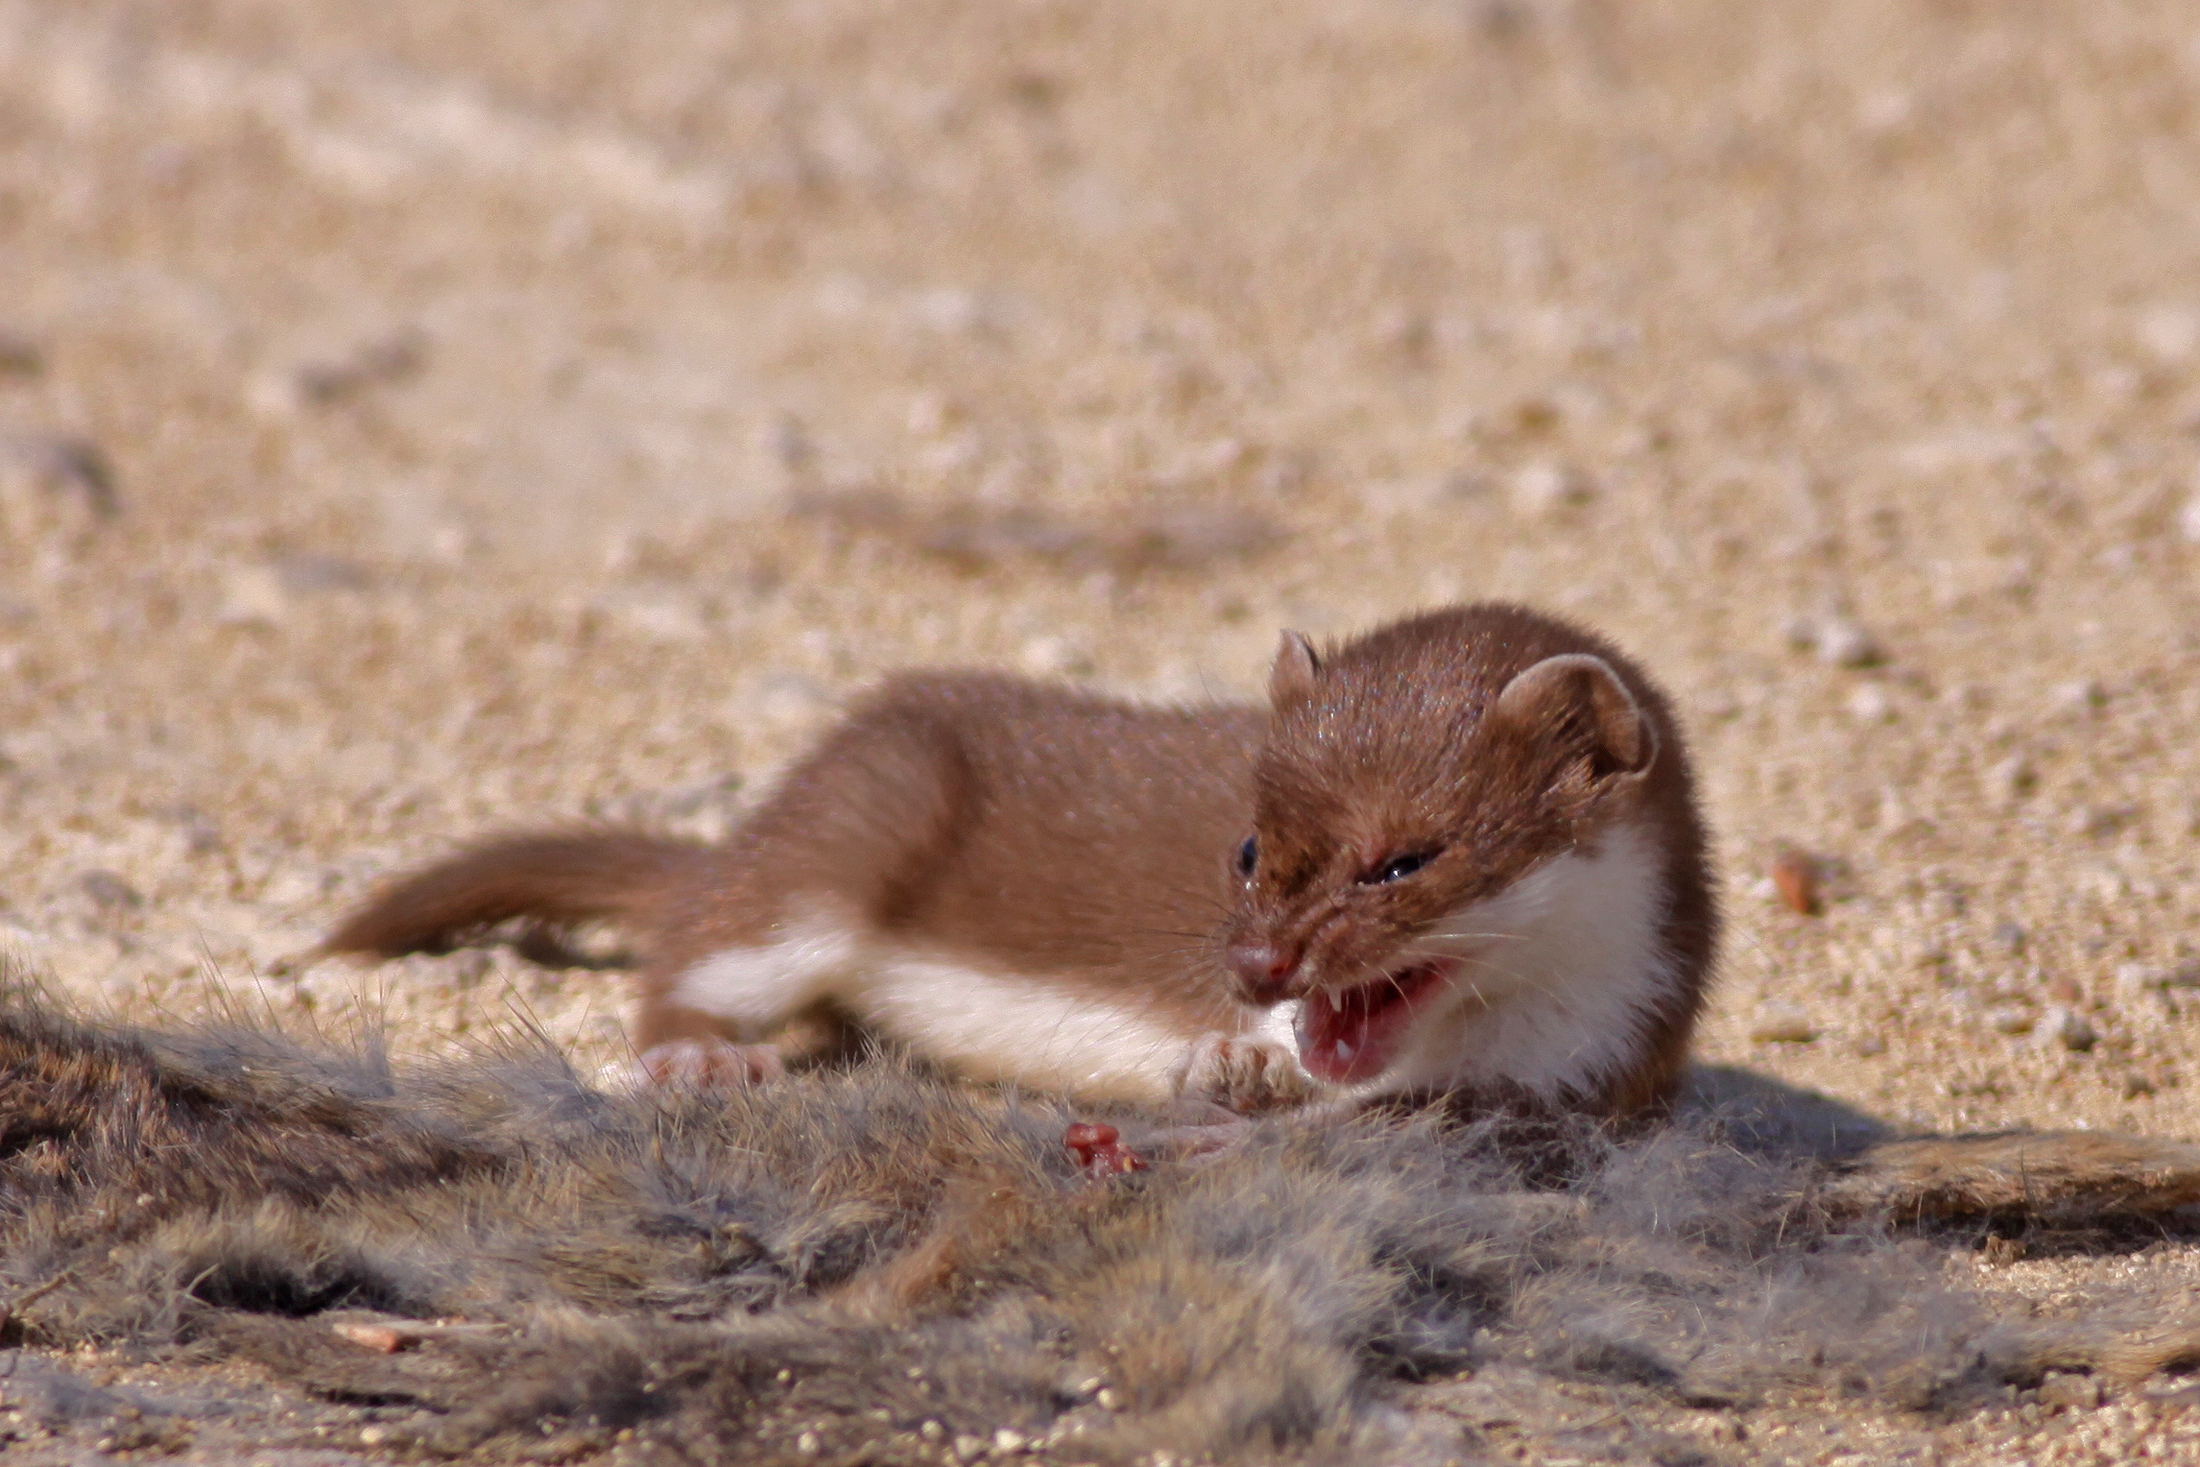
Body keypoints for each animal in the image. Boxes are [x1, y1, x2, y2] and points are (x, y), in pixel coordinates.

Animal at [321, 602, 1716, 1117]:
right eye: (1248, 844)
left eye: (1402, 860)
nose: (1259, 966)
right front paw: (1225, 1059)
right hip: (857, 820)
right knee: (695, 950)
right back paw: (706, 1058)